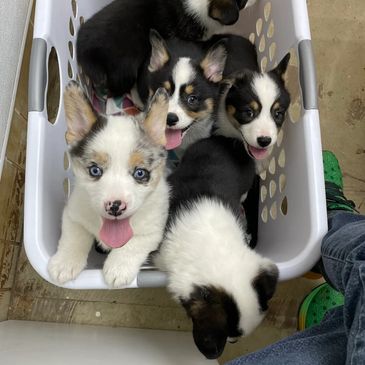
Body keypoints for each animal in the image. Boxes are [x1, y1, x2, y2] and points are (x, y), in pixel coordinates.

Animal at [46, 82, 169, 288]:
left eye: (140, 173)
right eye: (95, 170)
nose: (115, 207)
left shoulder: (153, 230)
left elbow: (134, 243)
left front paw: (118, 267)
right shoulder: (73, 214)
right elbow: (74, 236)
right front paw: (65, 263)